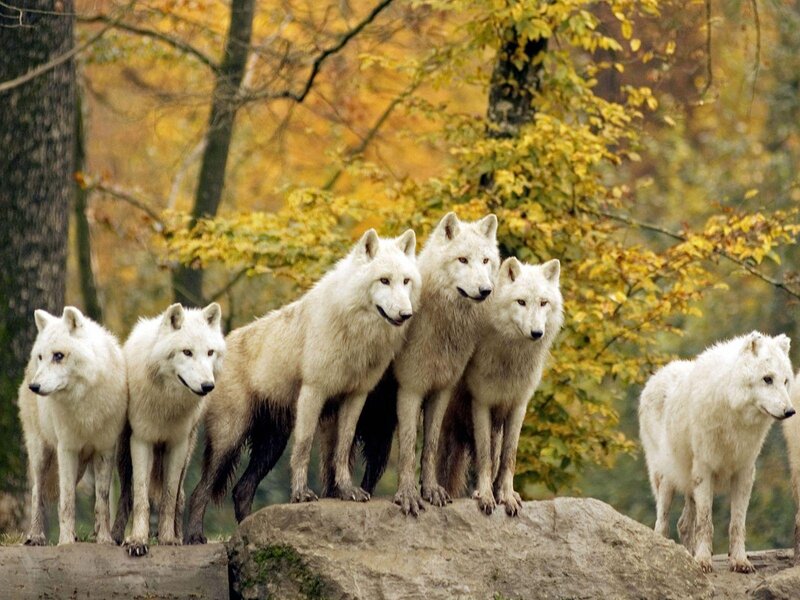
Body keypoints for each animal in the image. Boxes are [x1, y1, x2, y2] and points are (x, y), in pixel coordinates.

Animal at [18, 307, 127, 546]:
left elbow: (102, 501)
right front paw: (66, 542)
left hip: (80, 466)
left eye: (58, 355)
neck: (84, 401)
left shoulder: (105, 449)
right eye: (42, 357)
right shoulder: (66, 449)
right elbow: (67, 501)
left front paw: (104, 539)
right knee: (37, 492)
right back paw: (36, 536)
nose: (34, 387)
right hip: (41, 454)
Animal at [111, 302, 225, 556]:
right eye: (187, 352)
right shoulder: (141, 440)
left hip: (187, 452)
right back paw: (115, 536)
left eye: (210, 352)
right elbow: (141, 498)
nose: (207, 386)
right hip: (124, 455)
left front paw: (168, 540)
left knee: (180, 496)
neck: (167, 402)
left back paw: (180, 536)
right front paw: (137, 541)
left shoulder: (177, 444)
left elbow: (169, 497)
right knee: (126, 495)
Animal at [184, 228, 420, 544]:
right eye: (384, 280)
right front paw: (300, 494)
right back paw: (194, 536)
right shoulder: (313, 391)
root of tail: (215, 351)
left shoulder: (355, 396)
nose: (406, 314)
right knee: (200, 490)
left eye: (406, 281)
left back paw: (249, 535)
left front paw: (347, 490)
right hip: (229, 439)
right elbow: (305, 446)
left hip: (272, 444)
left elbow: (342, 448)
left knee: (241, 490)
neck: (356, 332)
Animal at [437, 257, 563, 516]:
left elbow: (508, 458)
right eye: (521, 302)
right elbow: (484, 458)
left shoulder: (518, 406)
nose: (537, 333)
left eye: (543, 303)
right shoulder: (481, 403)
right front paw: (485, 496)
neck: (511, 359)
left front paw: (506, 496)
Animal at [639, 332, 795, 573]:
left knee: (683, 524)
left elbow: (737, 523)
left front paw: (739, 561)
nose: (790, 411)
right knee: (662, 523)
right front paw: (703, 560)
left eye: (785, 381)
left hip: (688, 483)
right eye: (767, 379)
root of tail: (656, 375)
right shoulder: (704, 470)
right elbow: (706, 522)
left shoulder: (744, 472)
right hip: (667, 478)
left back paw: (687, 555)